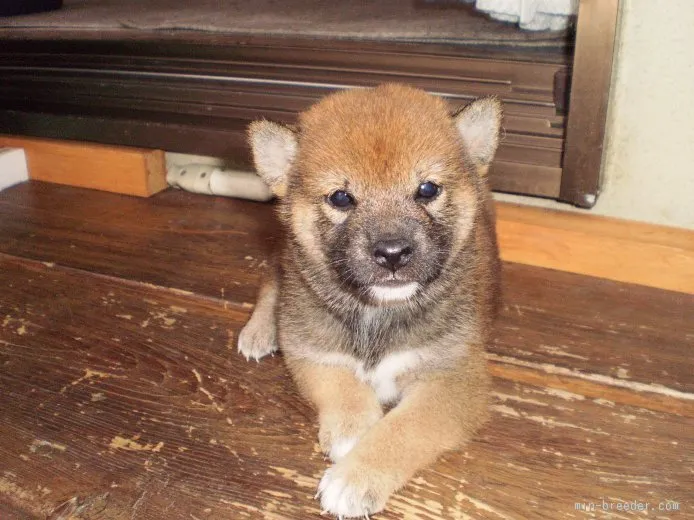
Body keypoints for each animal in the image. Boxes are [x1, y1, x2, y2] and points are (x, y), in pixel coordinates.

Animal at [239, 83, 500, 516]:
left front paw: (356, 476)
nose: (392, 253)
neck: (379, 313)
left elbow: (406, 428)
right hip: (284, 264)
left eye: (427, 189)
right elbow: (341, 386)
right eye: (341, 198)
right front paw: (352, 429)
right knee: (270, 284)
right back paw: (258, 331)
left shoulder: (454, 381)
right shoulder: (313, 350)